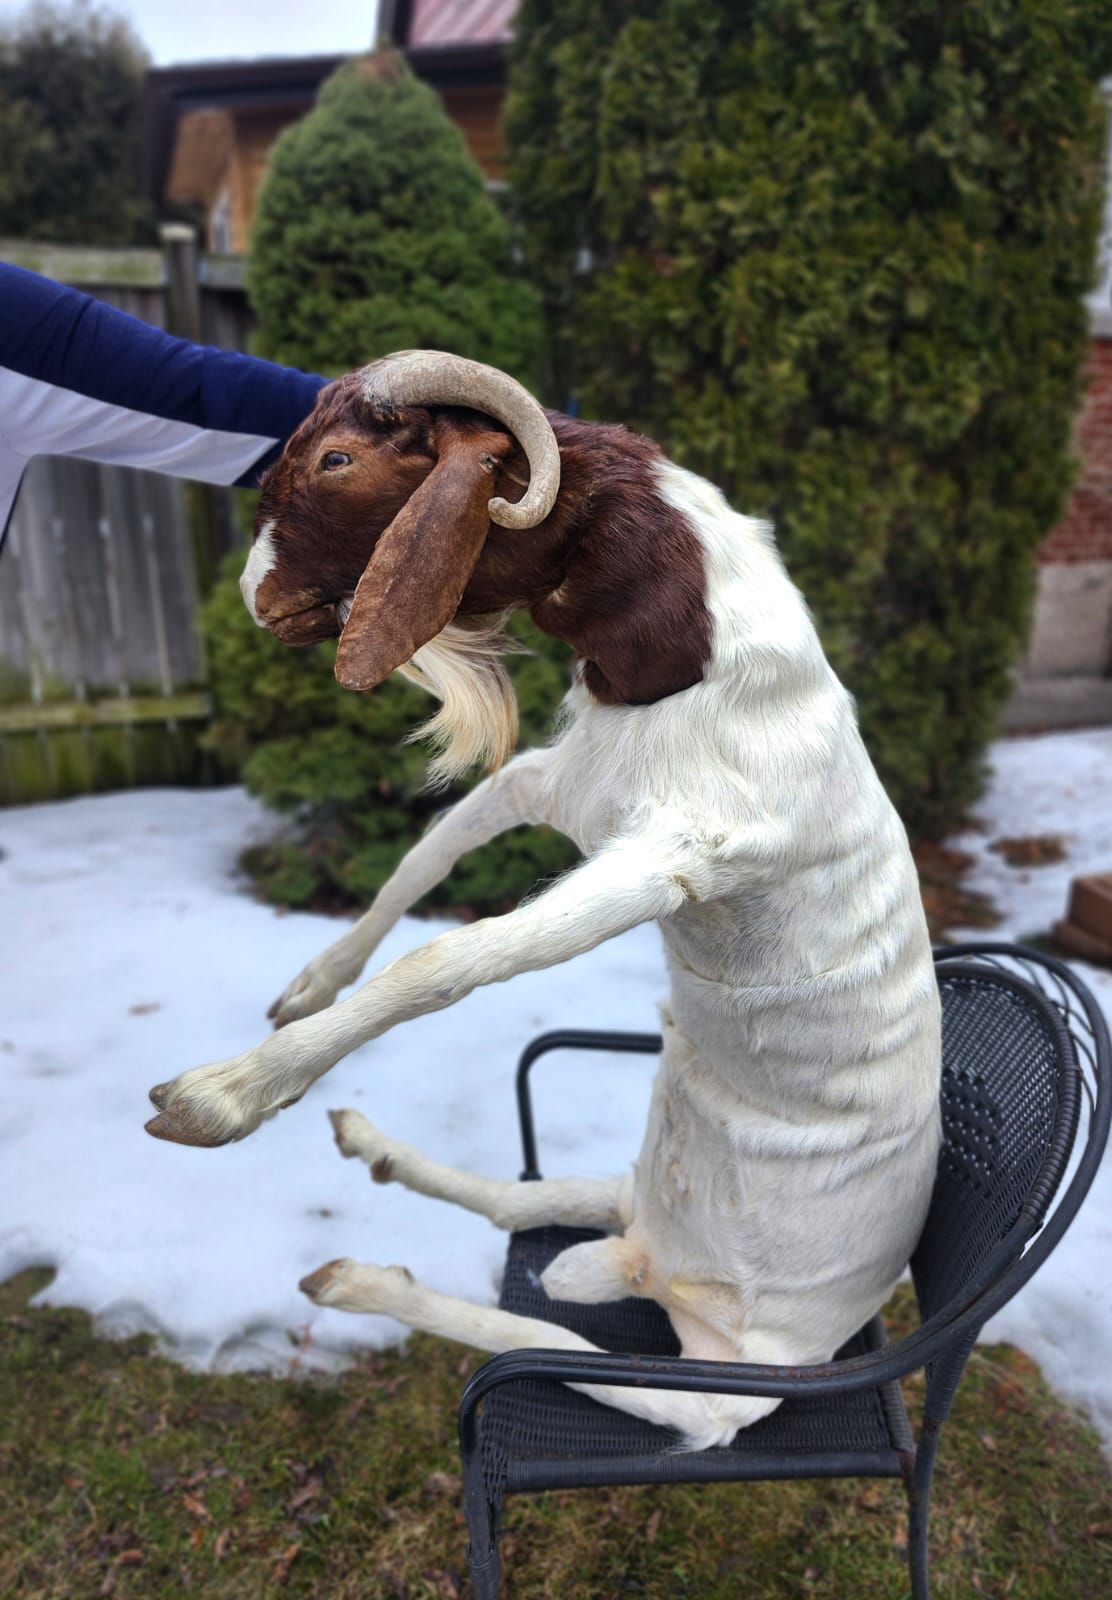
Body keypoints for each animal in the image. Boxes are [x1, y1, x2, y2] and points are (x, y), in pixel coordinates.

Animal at [146, 352, 942, 1448]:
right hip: (634, 1200)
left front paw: (224, 1094)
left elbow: (454, 957)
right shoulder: (563, 785)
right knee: (531, 1210)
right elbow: (431, 851)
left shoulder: (668, 859)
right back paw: (377, 1157)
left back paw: (362, 1283)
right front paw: (311, 984)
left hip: (722, 1392)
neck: (700, 669)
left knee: (583, 1353)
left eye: (338, 459)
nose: (255, 598)